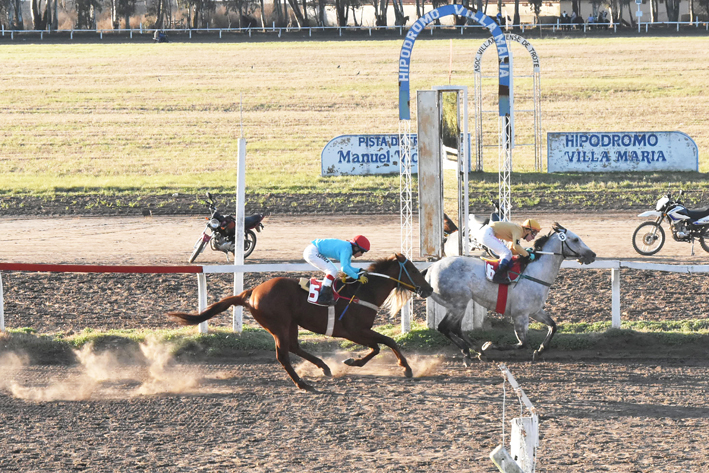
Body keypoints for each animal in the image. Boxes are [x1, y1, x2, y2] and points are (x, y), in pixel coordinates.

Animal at [167, 254, 432, 390]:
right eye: (414, 270)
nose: (428, 289)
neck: (363, 292)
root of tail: (251, 292)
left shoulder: (359, 331)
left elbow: (379, 345)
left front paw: (352, 361)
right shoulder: (354, 330)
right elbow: (384, 343)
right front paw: (406, 368)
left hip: (289, 324)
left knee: (293, 347)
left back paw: (324, 368)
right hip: (279, 324)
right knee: (283, 354)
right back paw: (303, 383)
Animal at [424, 221, 596, 362]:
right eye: (575, 239)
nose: (593, 255)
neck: (535, 272)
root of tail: (431, 269)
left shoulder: (535, 311)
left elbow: (553, 326)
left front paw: (540, 350)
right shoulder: (520, 315)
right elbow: (522, 343)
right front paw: (489, 345)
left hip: (457, 304)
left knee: (456, 328)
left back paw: (476, 349)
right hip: (458, 303)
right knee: (444, 327)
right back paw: (468, 351)